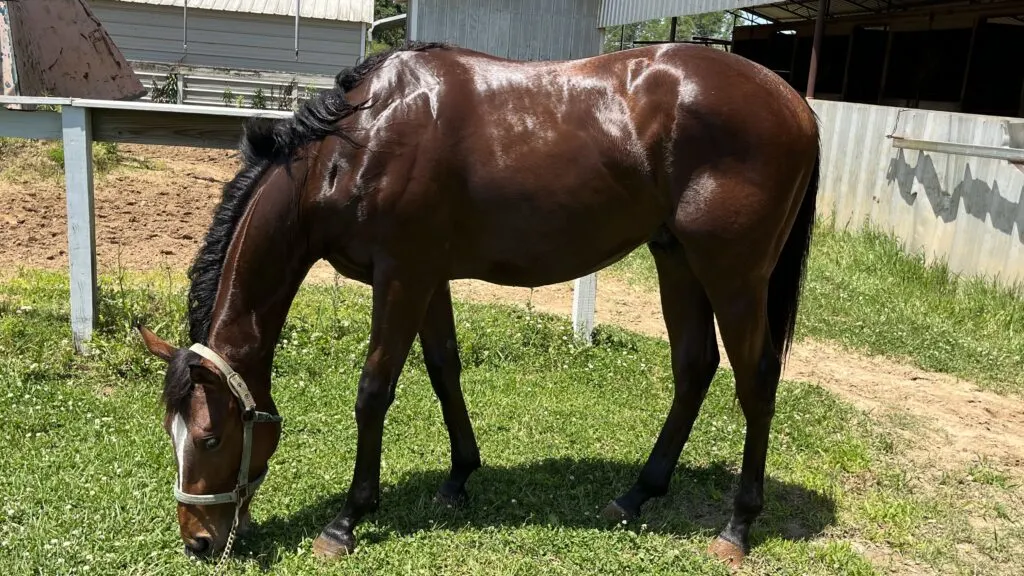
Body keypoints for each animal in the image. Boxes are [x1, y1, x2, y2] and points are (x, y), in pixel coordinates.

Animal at [138, 39, 823, 565]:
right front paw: (459, 476)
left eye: (208, 438)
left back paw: (737, 527)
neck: (358, 141)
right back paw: (636, 495)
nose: (198, 541)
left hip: (733, 274)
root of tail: (795, 103)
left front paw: (347, 520)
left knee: (756, 380)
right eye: (170, 432)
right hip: (675, 257)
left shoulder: (402, 277)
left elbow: (374, 390)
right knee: (694, 366)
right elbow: (444, 368)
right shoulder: (427, 278)